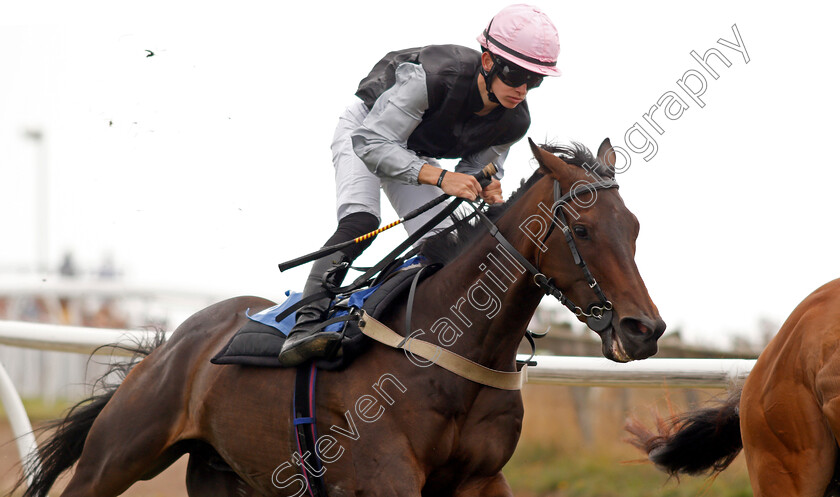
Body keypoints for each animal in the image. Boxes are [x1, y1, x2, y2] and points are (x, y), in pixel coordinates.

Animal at [16, 139, 668, 496]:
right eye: (583, 228)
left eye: (635, 228)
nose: (645, 329)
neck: (452, 348)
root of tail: (173, 344)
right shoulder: (384, 480)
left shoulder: (482, 479)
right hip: (117, 456)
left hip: (225, 474)